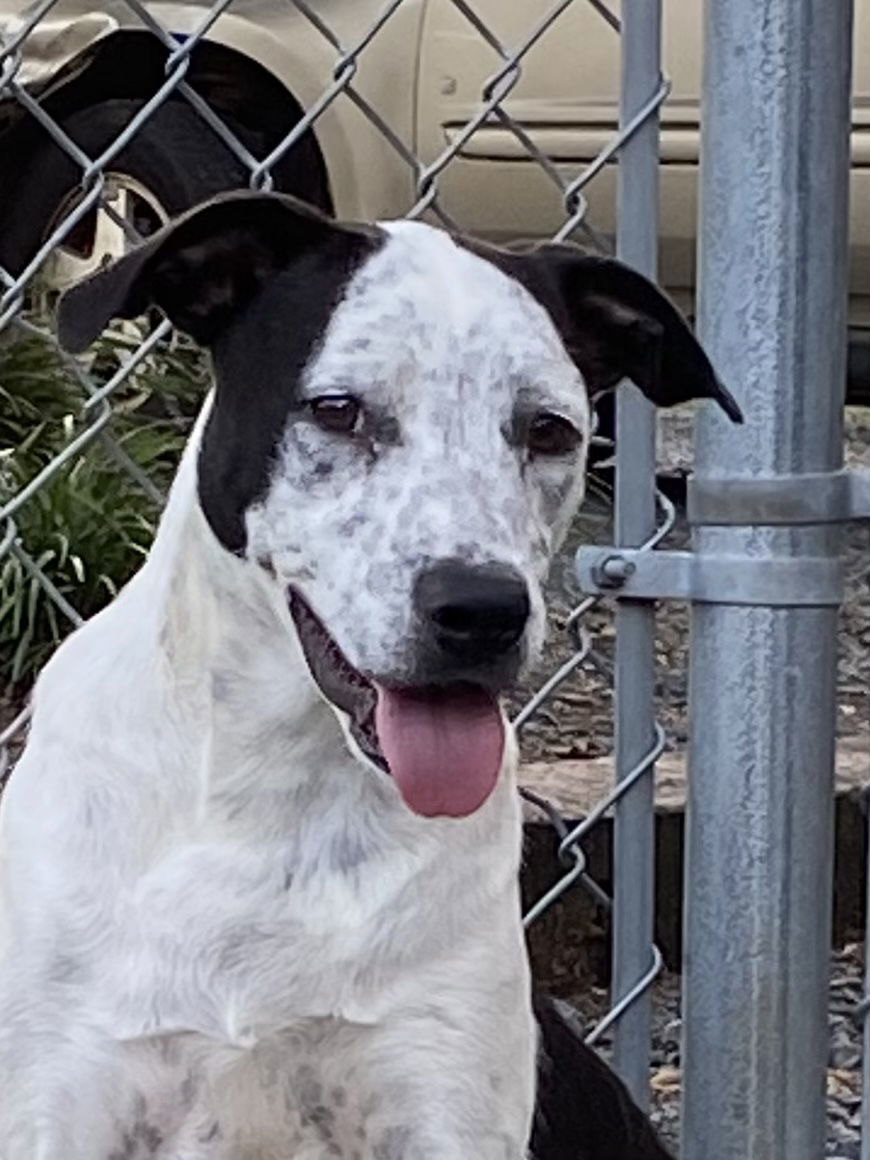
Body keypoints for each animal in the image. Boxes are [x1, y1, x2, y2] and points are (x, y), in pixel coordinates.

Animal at [0, 185, 742, 1155]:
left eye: (549, 429)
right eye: (337, 409)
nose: (481, 611)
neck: (271, 799)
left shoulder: (438, 1097)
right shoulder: (65, 1099)